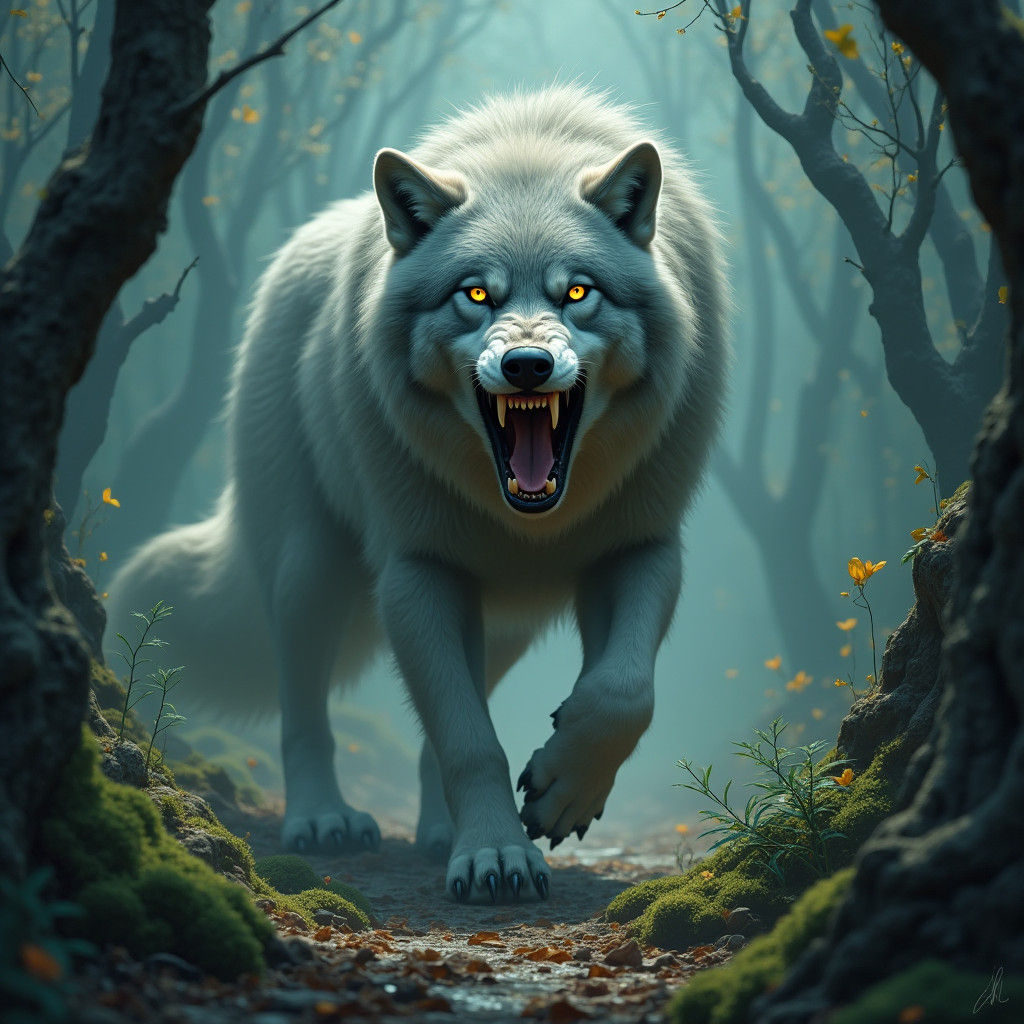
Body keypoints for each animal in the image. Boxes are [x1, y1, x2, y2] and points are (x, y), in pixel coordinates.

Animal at [107, 85, 728, 902]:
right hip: (313, 572)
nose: (527, 364)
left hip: (507, 622)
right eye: (476, 294)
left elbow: (621, 694)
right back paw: (324, 821)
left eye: (577, 292)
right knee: (304, 710)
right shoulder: (416, 573)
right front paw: (496, 855)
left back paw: (438, 832)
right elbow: (469, 740)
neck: (527, 520)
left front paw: (560, 792)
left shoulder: (642, 549)